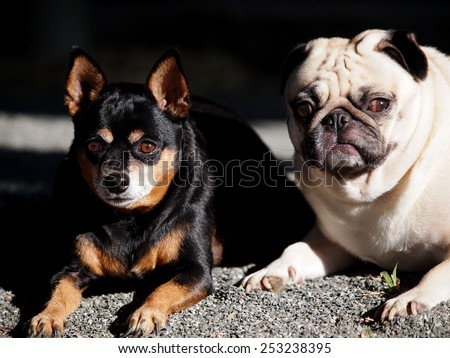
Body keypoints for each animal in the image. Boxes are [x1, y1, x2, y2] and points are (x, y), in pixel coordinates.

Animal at [28, 46, 314, 336]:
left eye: (147, 146)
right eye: (94, 146)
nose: (115, 181)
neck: (130, 218)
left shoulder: (195, 270)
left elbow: (163, 289)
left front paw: (145, 313)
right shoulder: (71, 269)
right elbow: (59, 292)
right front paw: (47, 316)